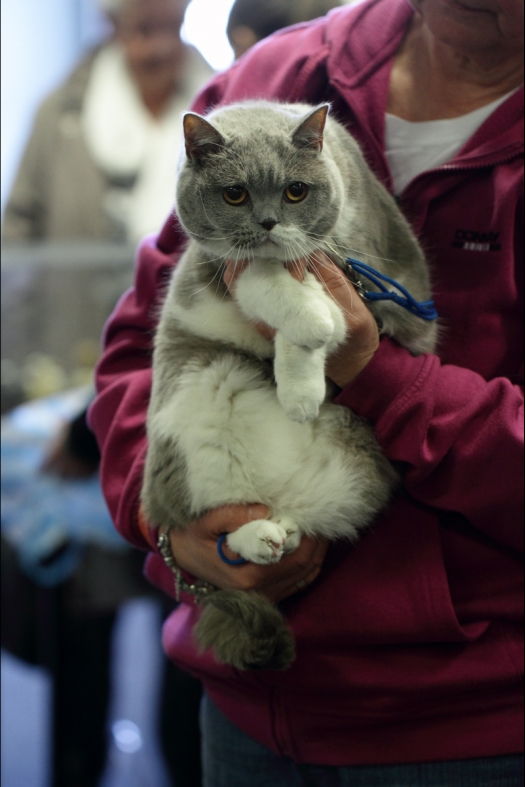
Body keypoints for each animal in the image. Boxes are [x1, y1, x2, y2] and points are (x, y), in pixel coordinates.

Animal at [140, 101, 438, 672]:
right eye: (235, 194)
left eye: (295, 191)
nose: (268, 222)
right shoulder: (218, 268)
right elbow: (265, 281)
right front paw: (309, 326)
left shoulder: (359, 272)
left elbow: (311, 316)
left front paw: (302, 381)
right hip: (198, 399)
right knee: (209, 512)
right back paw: (259, 537)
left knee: (302, 513)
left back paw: (284, 530)